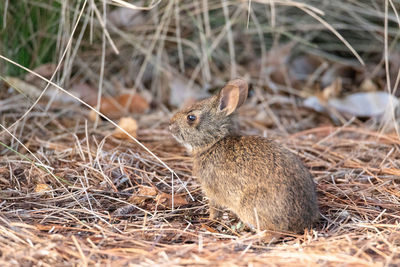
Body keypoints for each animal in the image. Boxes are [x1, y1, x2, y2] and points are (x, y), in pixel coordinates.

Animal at [169, 78, 318, 233]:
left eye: (191, 117)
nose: (170, 125)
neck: (215, 141)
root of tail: (302, 222)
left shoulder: (212, 191)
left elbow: (215, 209)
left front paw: (209, 219)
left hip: (250, 206)